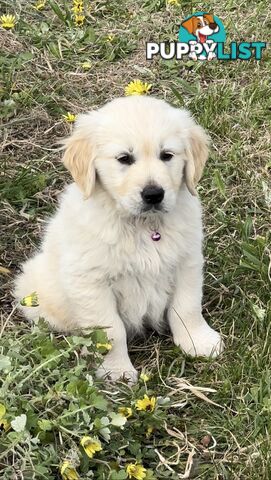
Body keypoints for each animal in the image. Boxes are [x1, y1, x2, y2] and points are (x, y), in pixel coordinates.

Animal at [13, 95, 224, 382]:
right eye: (124, 158)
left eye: (167, 155)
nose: (154, 194)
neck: (143, 227)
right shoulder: (91, 283)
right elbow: (111, 332)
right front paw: (117, 371)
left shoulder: (186, 262)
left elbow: (187, 306)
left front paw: (198, 341)